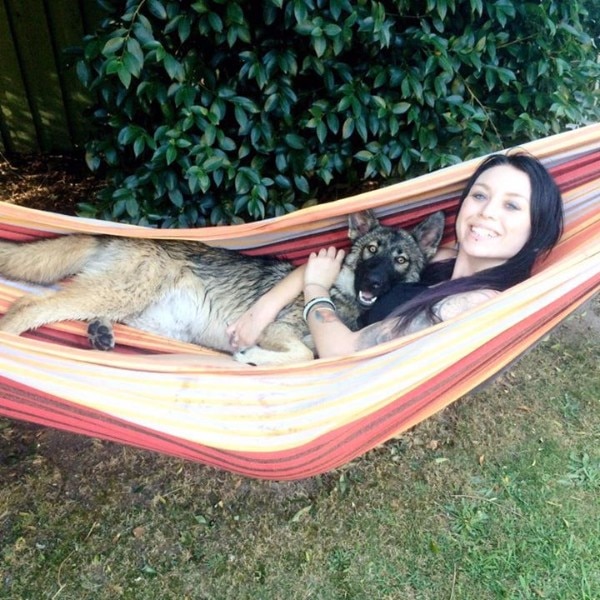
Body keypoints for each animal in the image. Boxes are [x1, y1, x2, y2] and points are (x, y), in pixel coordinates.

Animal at [0, 211, 442, 366]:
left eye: (401, 260)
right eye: (371, 250)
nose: (373, 282)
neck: (341, 296)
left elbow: (306, 353)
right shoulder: (275, 328)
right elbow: (302, 353)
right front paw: (253, 357)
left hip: (138, 308)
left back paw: (100, 332)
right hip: (124, 291)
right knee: (27, 307)